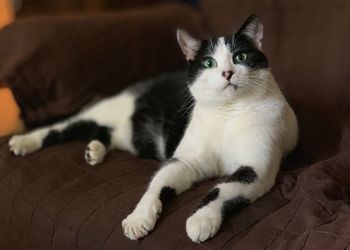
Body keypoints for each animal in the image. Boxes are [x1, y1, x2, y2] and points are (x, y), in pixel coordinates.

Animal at [7, 15, 298, 242]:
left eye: (240, 56)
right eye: (209, 63)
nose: (227, 72)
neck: (227, 113)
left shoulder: (256, 170)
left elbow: (222, 190)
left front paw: (201, 220)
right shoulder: (183, 161)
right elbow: (156, 186)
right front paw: (139, 219)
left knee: (102, 134)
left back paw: (95, 151)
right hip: (103, 110)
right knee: (61, 127)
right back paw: (23, 142)